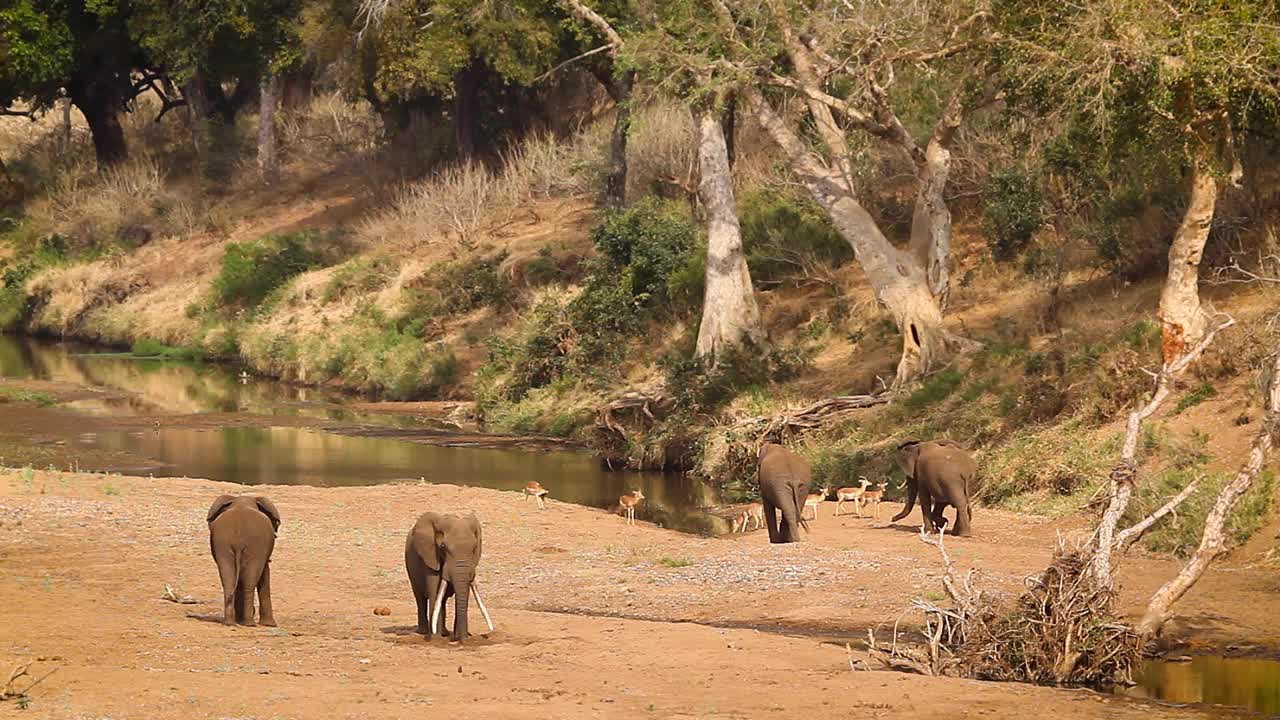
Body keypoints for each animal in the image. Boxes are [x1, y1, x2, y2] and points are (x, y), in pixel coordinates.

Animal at [207, 491, 280, 622]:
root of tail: (238, 541)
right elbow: (265, 573)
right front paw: (270, 624)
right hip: (255, 546)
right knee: (250, 581)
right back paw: (249, 623)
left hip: (223, 545)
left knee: (228, 580)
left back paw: (230, 622)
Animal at [404, 507, 494, 640]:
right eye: (443, 547)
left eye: (474, 548)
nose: (463, 640)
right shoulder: (430, 556)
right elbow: (435, 591)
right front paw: (436, 639)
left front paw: (461, 638)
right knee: (420, 597)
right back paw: (424, 632)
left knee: (443, 600)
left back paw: (445, 632)